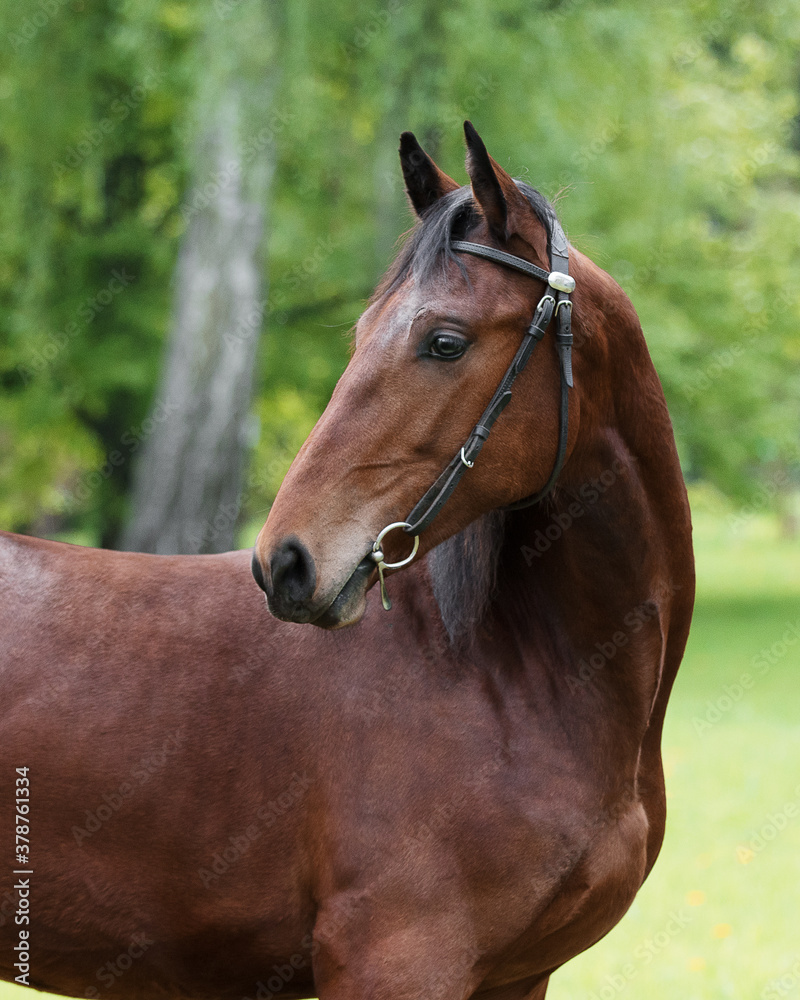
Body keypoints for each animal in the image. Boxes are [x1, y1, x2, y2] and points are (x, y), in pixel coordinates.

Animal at [1, 121, 693, 1000]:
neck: (510, 671)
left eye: (444, 342)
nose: (286, 563)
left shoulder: (518, 977)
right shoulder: (397, 961)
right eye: (362, 335)